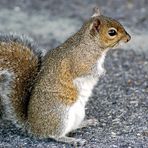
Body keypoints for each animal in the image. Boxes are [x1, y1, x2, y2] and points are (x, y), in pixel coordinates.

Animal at [0, 8, 131, 146]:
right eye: (112, 32)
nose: (129, 38)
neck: (90, 44)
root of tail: (33, 127)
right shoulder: (80, 63)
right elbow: (89, 71)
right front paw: (103, 73)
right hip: (61, 115)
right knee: (54, 135)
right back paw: (72, 140)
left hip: (78, 112)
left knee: (72, 127)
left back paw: (86, 122)